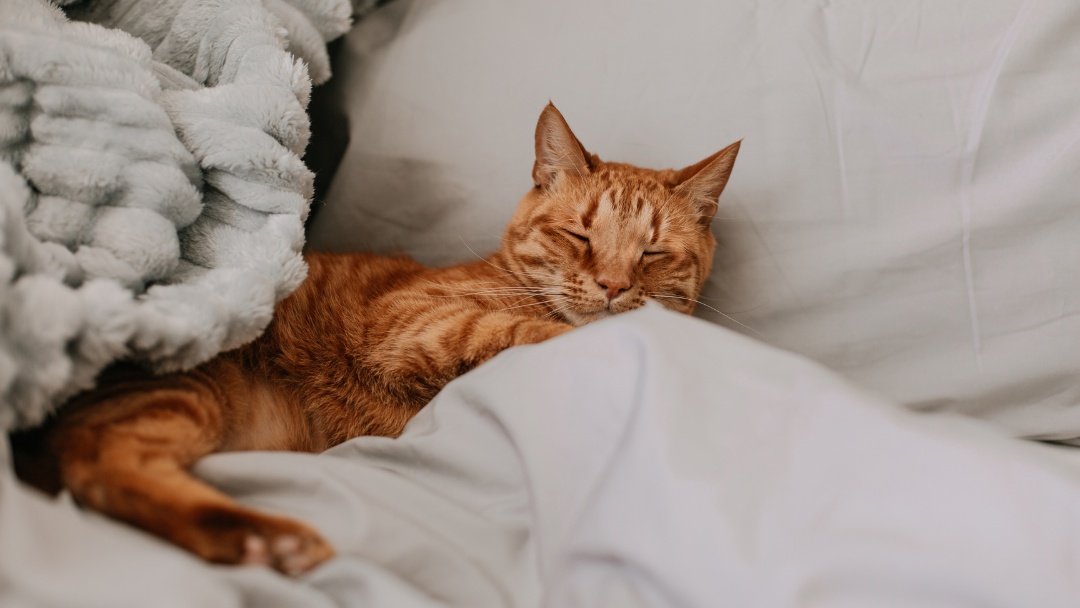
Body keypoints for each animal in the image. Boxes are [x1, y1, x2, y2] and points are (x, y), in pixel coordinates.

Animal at [46, 103, 738, 574]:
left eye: (653, 253)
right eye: (579, 236)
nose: (615, 286)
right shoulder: (407, 321)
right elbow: (518, 329)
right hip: (186, 389)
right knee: (101, 467)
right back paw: (266, 537)